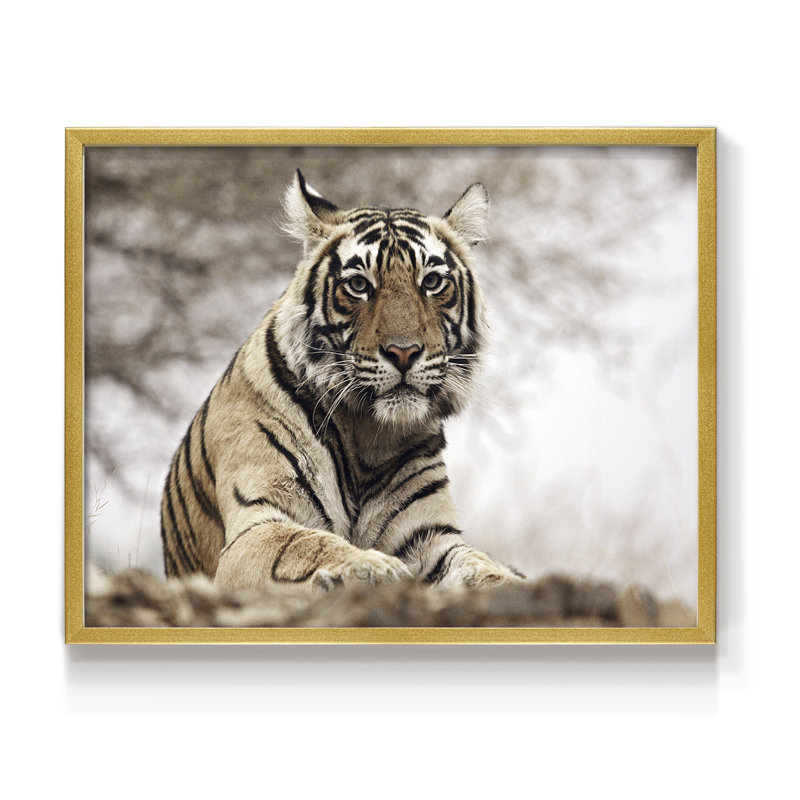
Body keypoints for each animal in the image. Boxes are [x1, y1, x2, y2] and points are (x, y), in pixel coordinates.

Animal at [160, 171, 521, 592]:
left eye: (431, 282)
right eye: (359, 285)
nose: (403, 352)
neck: (369, 435)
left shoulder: (430, 535)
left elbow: (479, 566)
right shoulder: (257, 525)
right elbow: (308, 544)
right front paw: (376, 567)